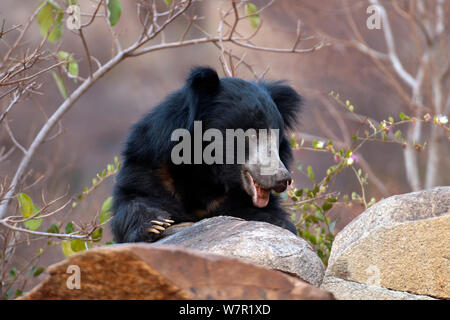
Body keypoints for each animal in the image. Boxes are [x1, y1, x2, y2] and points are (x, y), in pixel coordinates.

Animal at [112, 67, 302, 242]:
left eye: (276, 138)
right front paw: (155, 224)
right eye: (252, 134)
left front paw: (280, 223)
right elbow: (134, 198)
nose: (282, 179)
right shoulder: (151, 166)